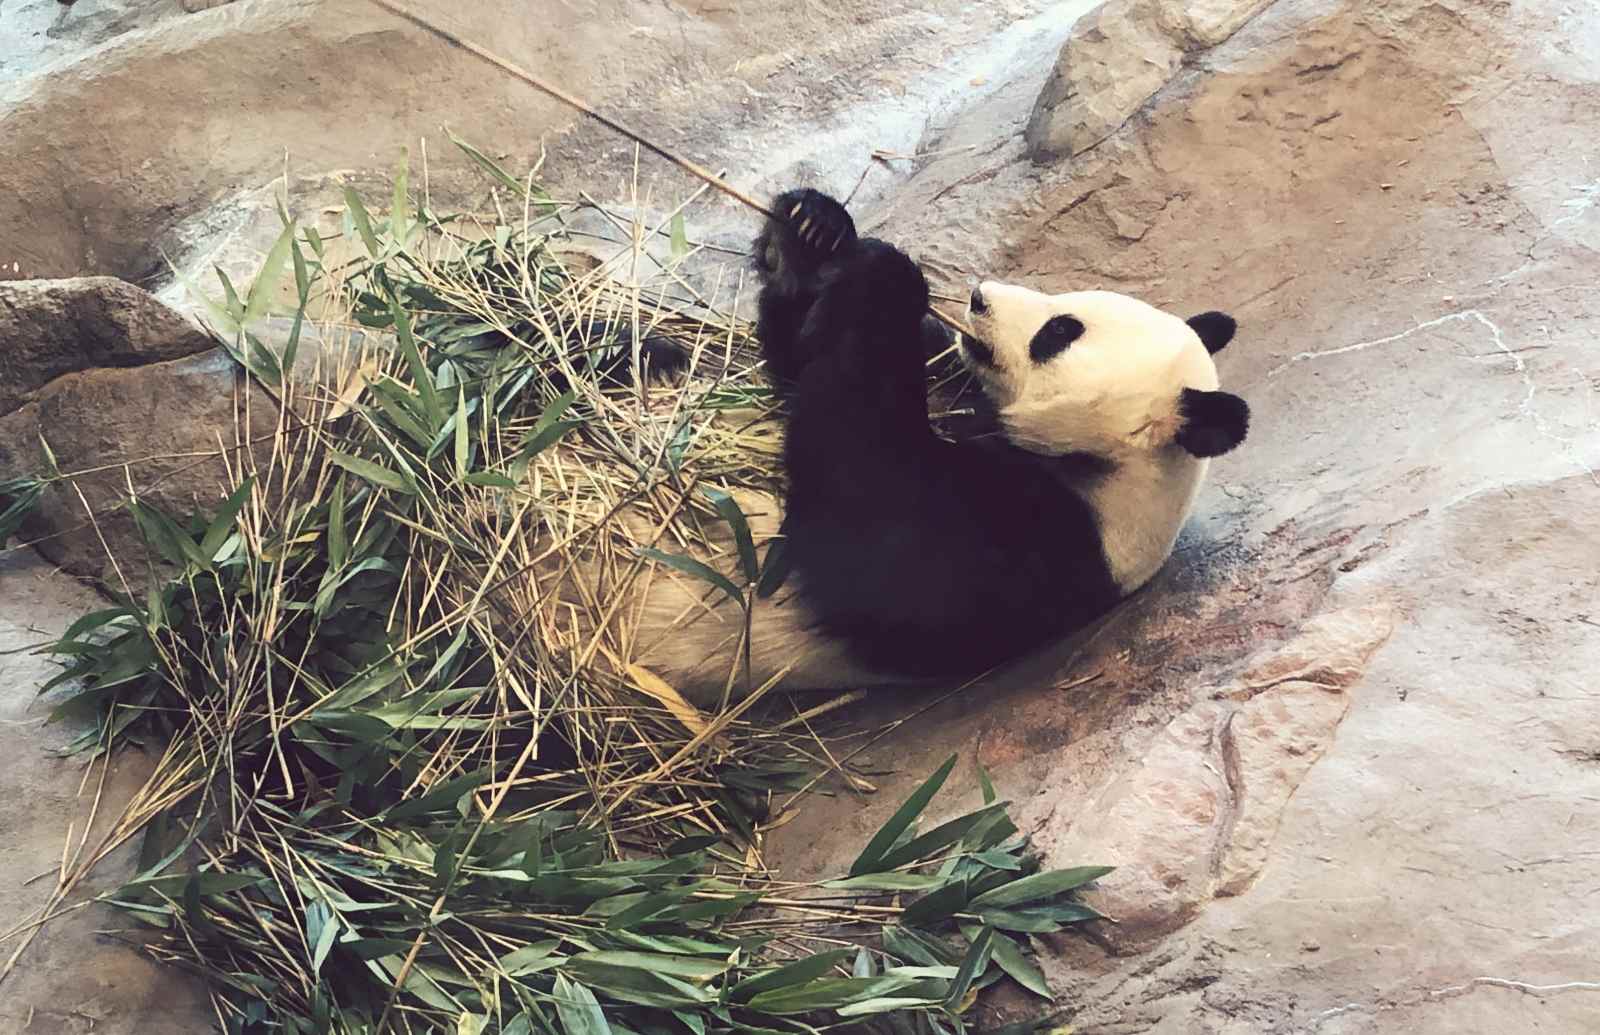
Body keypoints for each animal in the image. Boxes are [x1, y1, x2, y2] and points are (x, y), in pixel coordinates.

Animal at [577, 188, 1249, 708]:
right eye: (1067, 307)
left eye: (1060, 332)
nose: (977, 297)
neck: (1103, 469)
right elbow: (802, 370)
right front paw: (811, 230)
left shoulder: (1038, 551)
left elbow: (857, 503)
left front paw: (886, 275)